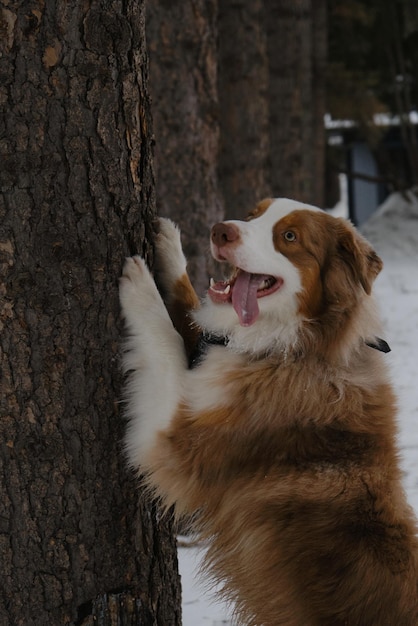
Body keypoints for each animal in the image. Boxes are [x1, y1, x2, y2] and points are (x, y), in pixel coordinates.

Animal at [118, 199, 418, 624]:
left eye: (289, 237)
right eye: (252, 213)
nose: (221, 230)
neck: (293, 348)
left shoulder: (179, 440)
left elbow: (166, 340)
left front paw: (141, 286)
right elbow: (189, 311)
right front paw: (169, 243)